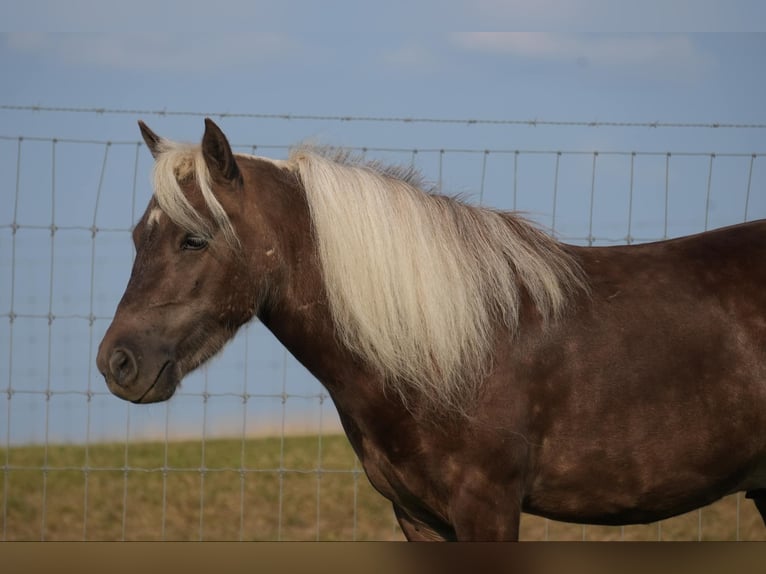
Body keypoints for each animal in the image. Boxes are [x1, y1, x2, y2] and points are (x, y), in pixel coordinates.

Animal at [97, 119, 766, 544]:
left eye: (193, 239)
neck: (449, 354)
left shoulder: (487, 510)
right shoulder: (417, 517)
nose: (116, 363)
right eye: (135, 238)